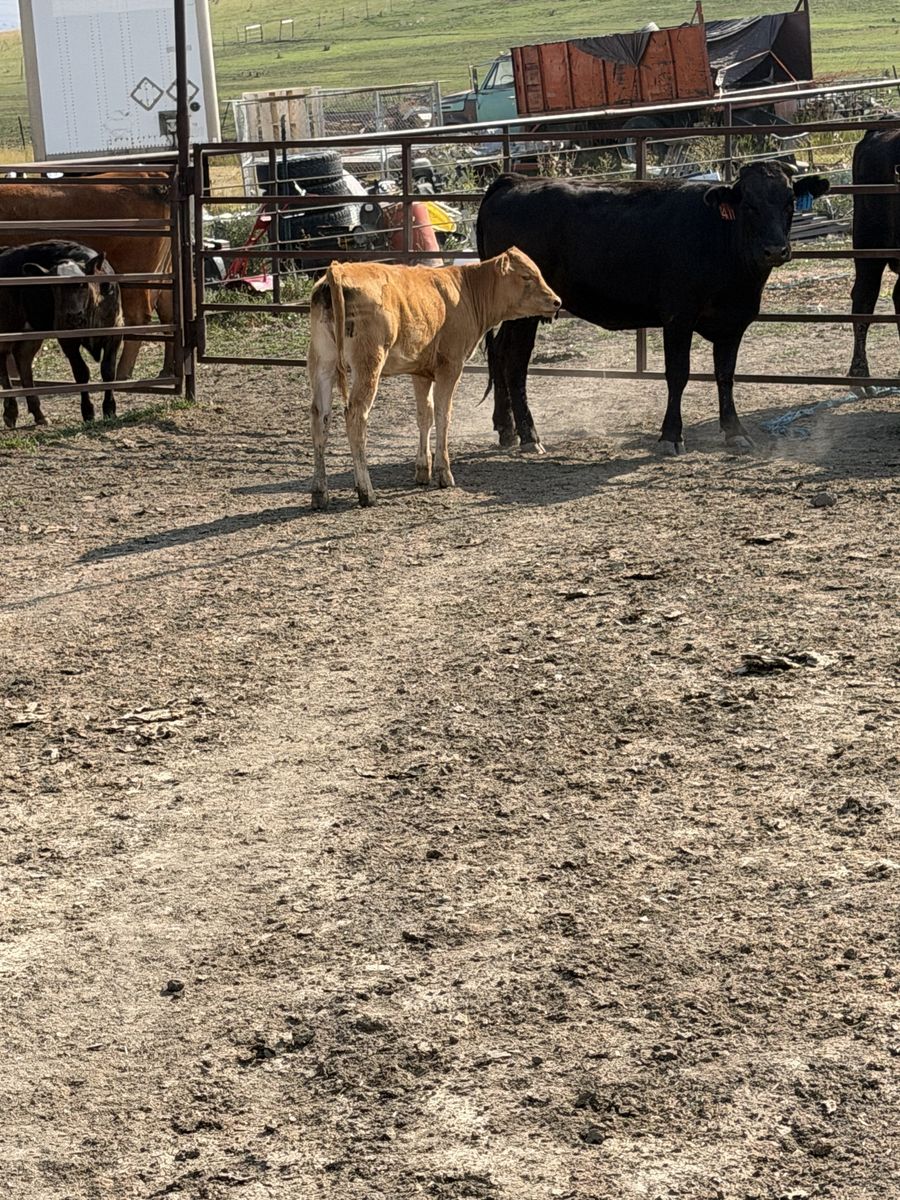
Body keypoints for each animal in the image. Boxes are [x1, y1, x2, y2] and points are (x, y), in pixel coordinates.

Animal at [0, 240, 123, 429]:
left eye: (82, 284)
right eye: (54, 286)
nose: (73, 315)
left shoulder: (115, 331)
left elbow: (108, 370)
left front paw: (109, 409)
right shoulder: (67, 340)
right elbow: (81, 373)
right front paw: (87, 411)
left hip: (31, 331)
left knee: (23, 360)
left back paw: (39, 414)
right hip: (8, 326)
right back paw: (11, 411)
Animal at [307, 248, 561, 508]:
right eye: (526, 276)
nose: (557, 301)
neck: (466, 290)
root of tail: (339, 271)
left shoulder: (420, 371)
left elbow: (425, 415)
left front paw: (423, 469)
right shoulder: (450, 366)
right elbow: (442, 414)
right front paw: (443, 472)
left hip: (322, 362)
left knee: (320, 417)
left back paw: (320, 493)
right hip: (369, 363)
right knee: (356, 416)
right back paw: (366, 492)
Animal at [476, 161, 831, 456]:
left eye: (789, 203)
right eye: (749, 205)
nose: (775, 250)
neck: (721, 238)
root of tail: (515, 181)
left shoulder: (733, 322)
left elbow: (725, 375)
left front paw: (735, 431)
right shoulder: (678, 316)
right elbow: (678, 374)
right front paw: (671, 436)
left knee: (499, 353)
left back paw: (506, 429)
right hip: (525, 314)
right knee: (515, 362)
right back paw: (529, 436)